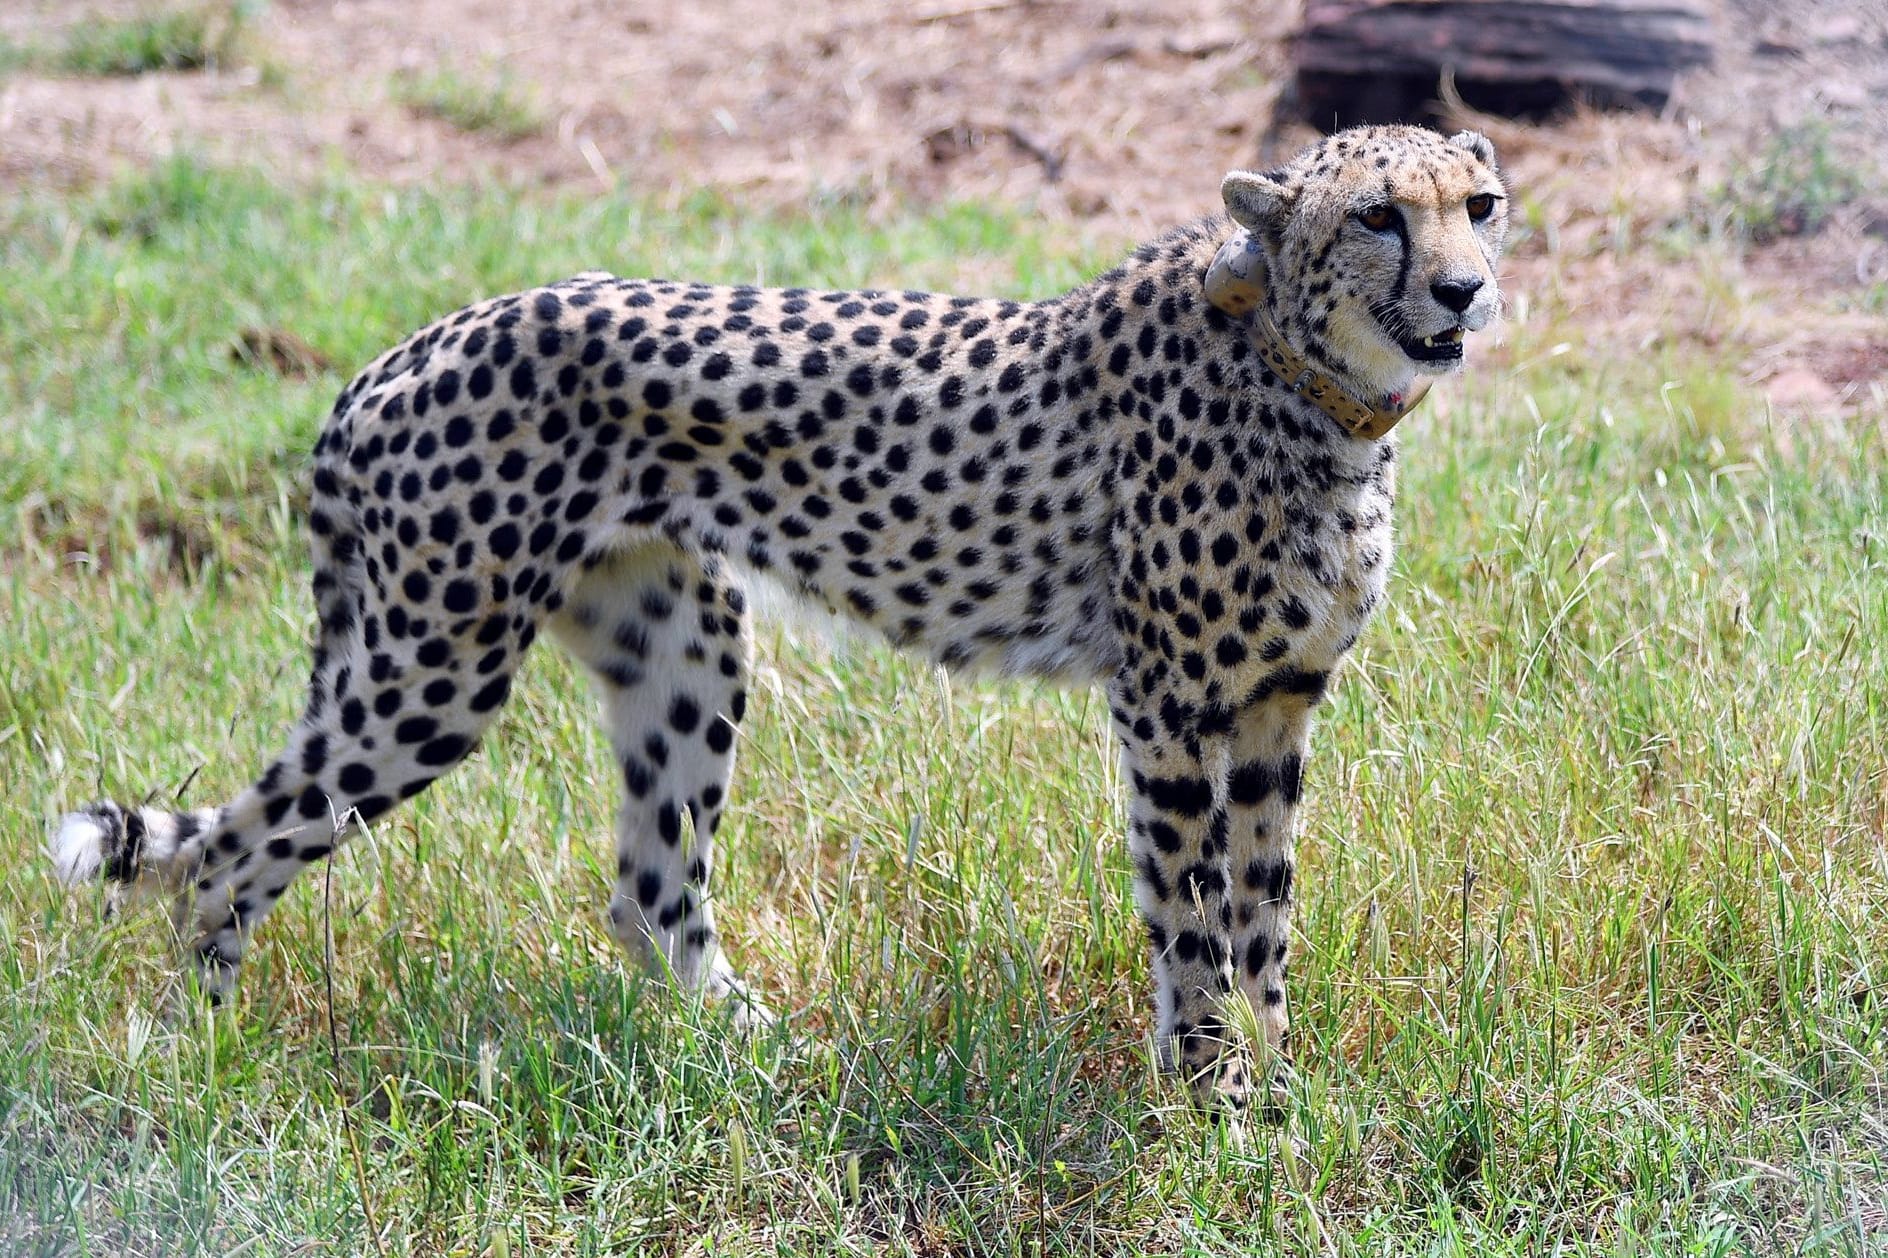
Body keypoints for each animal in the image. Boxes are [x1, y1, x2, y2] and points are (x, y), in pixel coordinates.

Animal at [51, 127, 1510, 1110]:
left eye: (1480, 206)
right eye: (1380, 216)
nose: (1464, 290)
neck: (1311, 384)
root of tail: (399, 352)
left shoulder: (1274, 705)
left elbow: (1265, 914)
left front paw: (1281, 1088)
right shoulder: (1168, 705)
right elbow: (1192, 918)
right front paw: (1214, 1101)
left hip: (682, 644)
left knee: (650, 889)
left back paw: (760, 1057)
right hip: (434, 667)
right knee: (230, 849)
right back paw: (201, 1053)